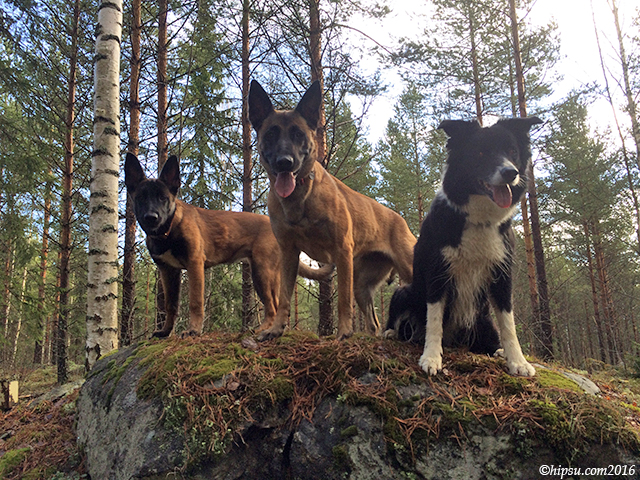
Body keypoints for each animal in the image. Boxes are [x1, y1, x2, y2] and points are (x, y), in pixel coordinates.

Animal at [126, 153, 336, 338]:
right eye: (140, 198)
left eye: (163, 198)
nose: (151, 217)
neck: (167, 232)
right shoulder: (168, 271)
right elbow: (170, 306)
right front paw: (165, 332)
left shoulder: (194, 264)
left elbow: (195, 302)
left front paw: (193, 330)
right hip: (262, 274)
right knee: (274, 306)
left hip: (262, 272)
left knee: (272, 306)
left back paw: (263, 330)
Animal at [248, 80, 418, 340]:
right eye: (271, 134)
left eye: (298, 134)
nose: (285, 162)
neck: (301, 199)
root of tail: (400, 219)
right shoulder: (288, 253)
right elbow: (285, 297)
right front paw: (276, 330)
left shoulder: (342, 251)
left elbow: (343, 301)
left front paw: (344, 333)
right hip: (362, 285)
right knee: (374, 322)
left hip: (408, 269)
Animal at [382, 118, 544, 376]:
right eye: (480, 153)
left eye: (512, 152)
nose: (511, 172)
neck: (479, 220)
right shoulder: (438, 270)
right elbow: (434, 319)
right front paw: (431, 357)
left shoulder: (502, 274)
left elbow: (508, 323)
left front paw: (517, 361)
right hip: (404, 292)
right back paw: (391, 332)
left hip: (483, 319)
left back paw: (497, 350)